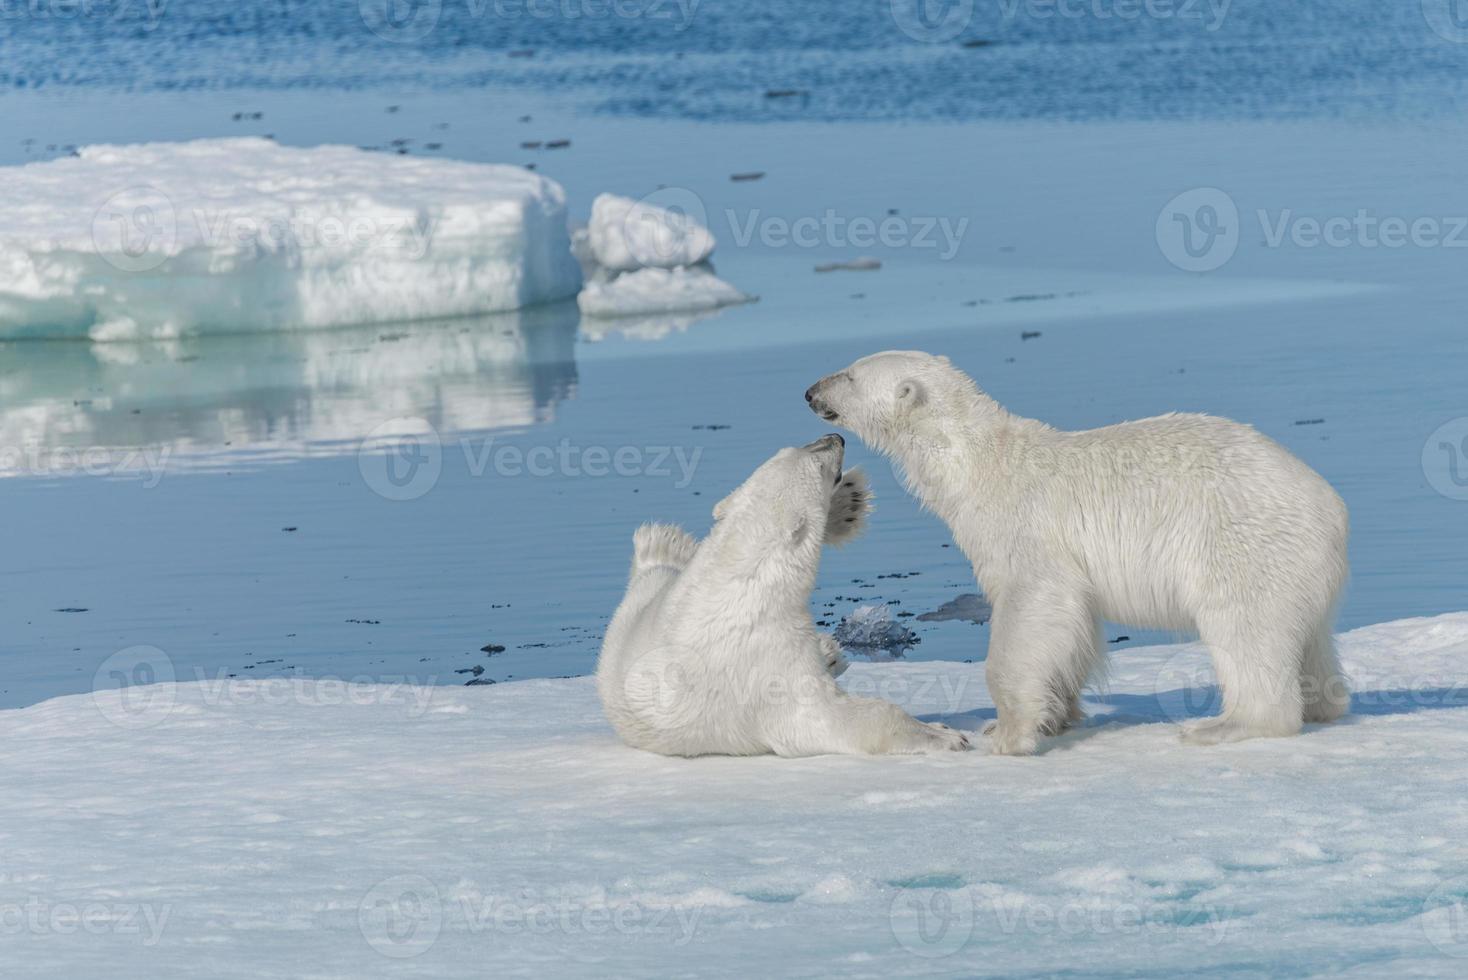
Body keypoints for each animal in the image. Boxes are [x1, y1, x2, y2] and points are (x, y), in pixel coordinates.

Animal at [590, 434, 968, 757]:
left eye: (795, 447)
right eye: (818, 464)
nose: (836, 438)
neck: (744, 579)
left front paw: (847, 500)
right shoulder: (767, 662)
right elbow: (827, 718)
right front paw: (946, 735)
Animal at [810, 352, 1344, 757]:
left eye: (851, 375)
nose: (811, 391)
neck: (976, 463)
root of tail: (1331, 508)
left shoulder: (1024, 528)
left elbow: (1035, 606)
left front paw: (1008, 733)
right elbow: (1075, 629)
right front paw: (1053, 717)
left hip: (1240, 543)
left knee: (1243, 625)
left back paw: (1222, 725)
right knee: (1307, 637)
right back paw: (1325, 703)